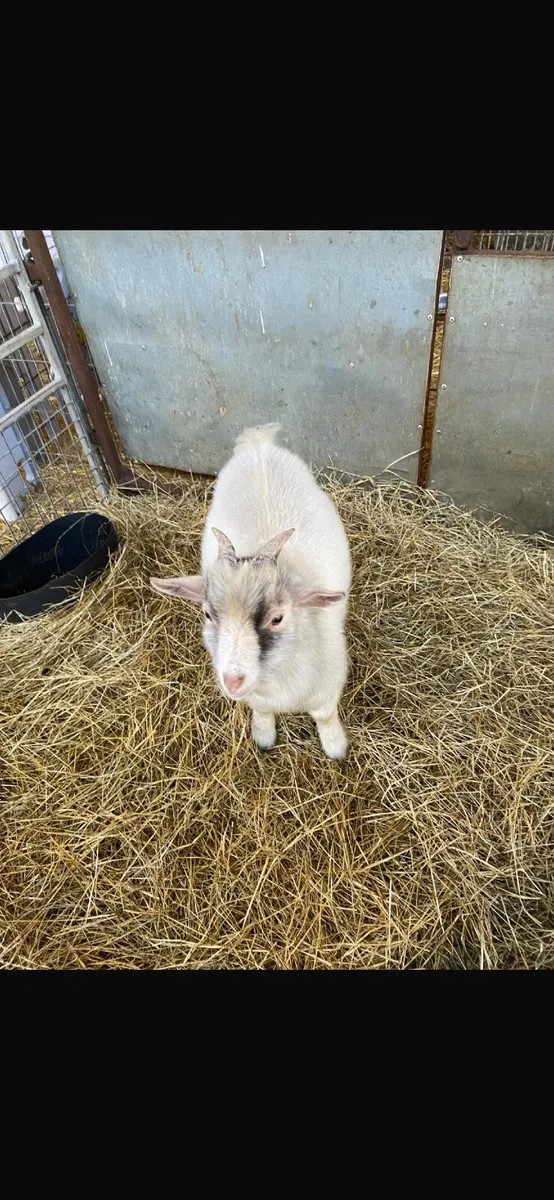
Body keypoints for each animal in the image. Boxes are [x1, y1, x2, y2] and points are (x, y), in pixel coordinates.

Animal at [151, 424, 351, 758]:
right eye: (208, 614)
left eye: (278, 618)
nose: (233, 680)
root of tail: (258, 445)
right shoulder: (258, 699)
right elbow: (262, 712)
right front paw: (264, 737)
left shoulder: (327, 689)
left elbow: (324, 716)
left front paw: (337, 749)